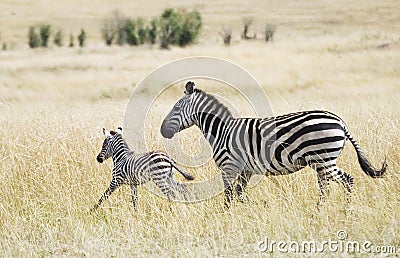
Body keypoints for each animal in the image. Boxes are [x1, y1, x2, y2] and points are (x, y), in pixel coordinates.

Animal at [160, 81, 388, 209]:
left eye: (177, 107)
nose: (163, 131)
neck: (222, 131)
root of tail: (340, 121)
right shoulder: (246, 170)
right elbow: (240, 194)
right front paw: (259, 207)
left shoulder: (229, 167)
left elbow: (229, 196)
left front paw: (225, 216)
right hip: (322, 162)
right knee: (326, 189)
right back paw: (318, 213)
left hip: (323, 158)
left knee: (347, 181)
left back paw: (346, 212)